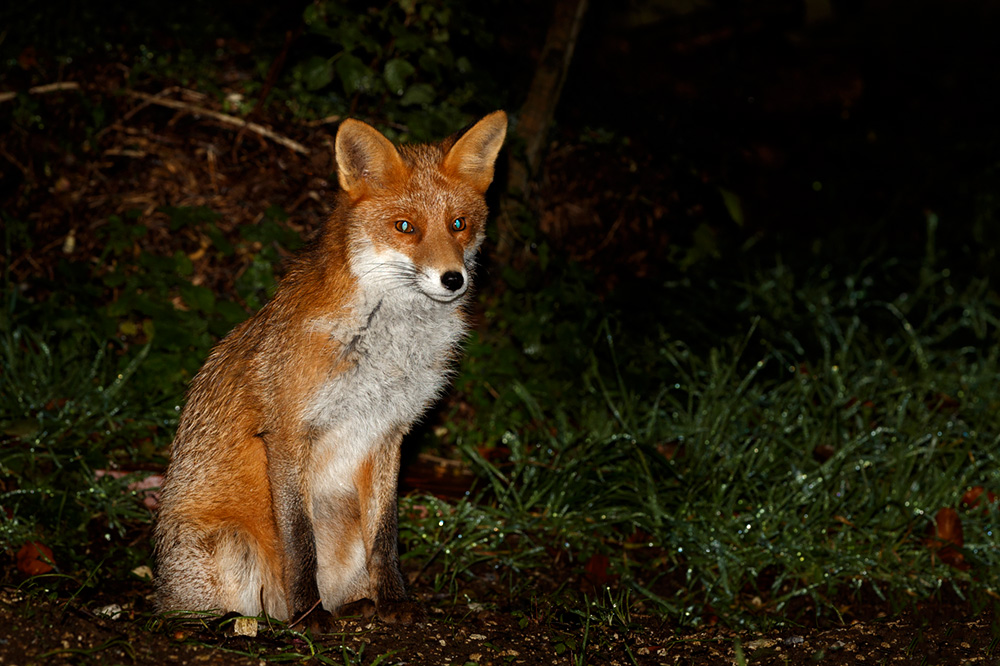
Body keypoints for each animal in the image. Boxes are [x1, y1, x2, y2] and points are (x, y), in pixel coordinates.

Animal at [153, 111, 507, 626]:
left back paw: (353, 604)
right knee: (217, 607)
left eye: (458, 225)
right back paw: (262, 619)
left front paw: (393, 600)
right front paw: (309, 615)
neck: (387, 349)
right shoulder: (286, 432)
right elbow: (300, 542)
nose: (452, 279)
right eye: (405, 227)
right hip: (233, 548)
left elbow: (386, 536)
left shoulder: (387, 434)